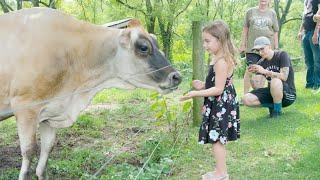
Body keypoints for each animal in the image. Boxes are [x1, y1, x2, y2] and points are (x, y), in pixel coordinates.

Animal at [0, 7, 180, 179]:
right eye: (143, 47)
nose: (177, 77)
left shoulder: (51, 111)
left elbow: (46, 153)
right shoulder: (25, 106)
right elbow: (29, 151)